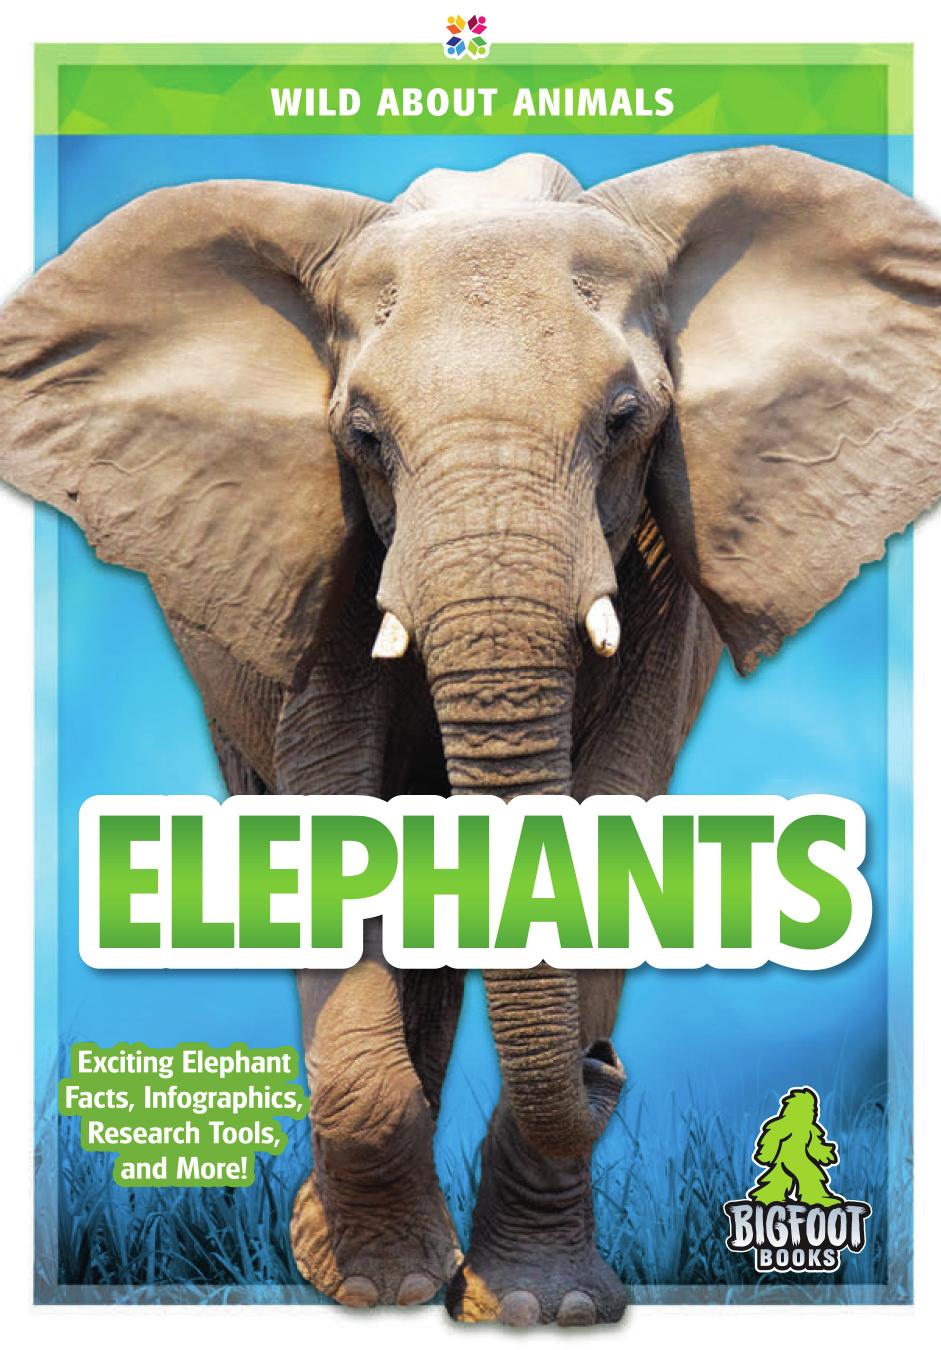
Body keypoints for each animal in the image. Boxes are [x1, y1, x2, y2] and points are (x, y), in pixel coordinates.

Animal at [2, 147, 941, 1325]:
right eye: (362, 435)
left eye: (625, 419)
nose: (604, 1062)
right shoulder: (328, 559)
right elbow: (331, 813)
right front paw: (377, 1287)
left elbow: (608, 819)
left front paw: (543, 1309)